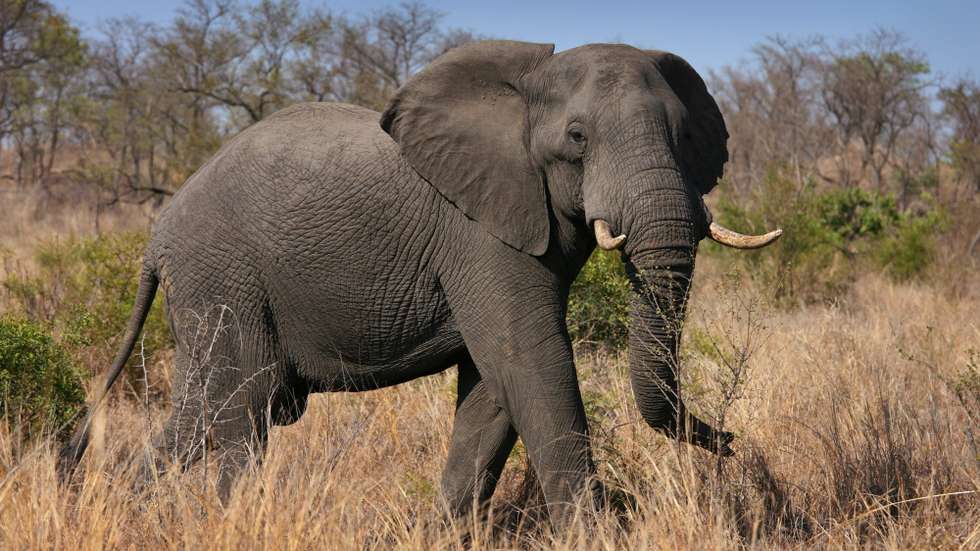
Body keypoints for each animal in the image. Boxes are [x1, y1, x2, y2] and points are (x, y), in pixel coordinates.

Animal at [58, 40, 780, 523]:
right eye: (577, 137)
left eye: (685, 136)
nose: (728, 440)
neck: (528, 80)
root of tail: (156, 237)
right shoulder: (479, 228)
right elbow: (530, 359)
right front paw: (595, 533)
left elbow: (492, 387)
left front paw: (448, 530)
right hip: (224, 276)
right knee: (243, 405)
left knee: (202, 411)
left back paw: (125, 508)